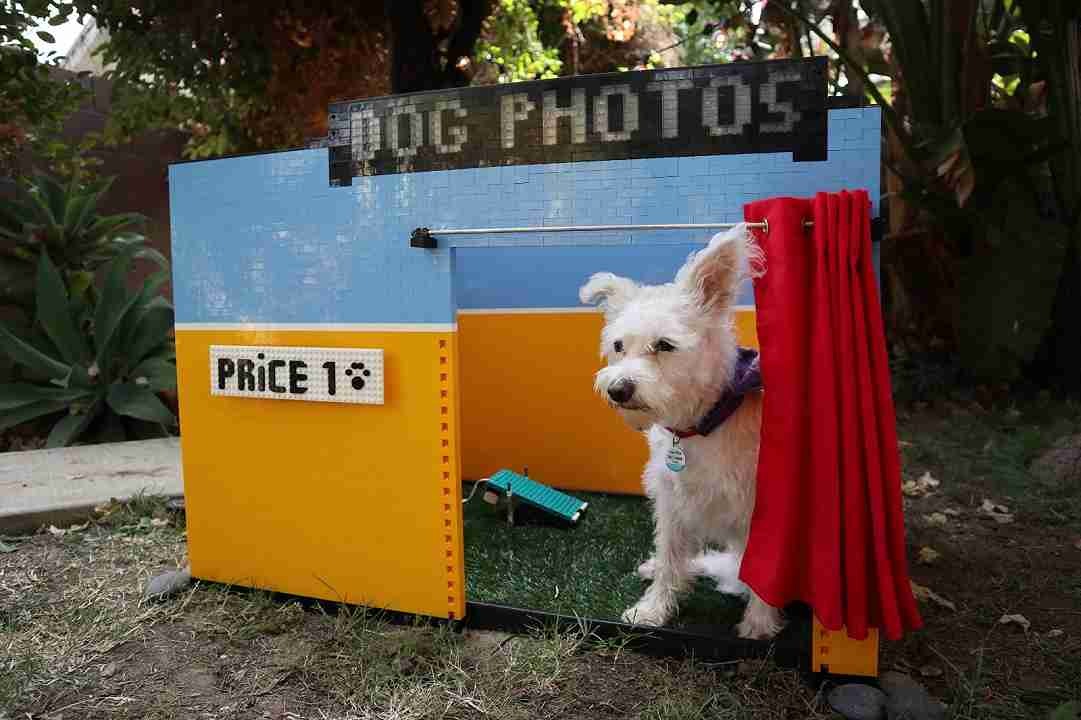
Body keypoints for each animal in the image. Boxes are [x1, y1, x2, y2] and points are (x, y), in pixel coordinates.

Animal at [579, 225, 782, 640]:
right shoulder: (672, 501)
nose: (618, 389)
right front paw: (653, 609)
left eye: (665, 345)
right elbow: (672, 554)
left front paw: (759, 624)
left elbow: (762, 572)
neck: (701, 426)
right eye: (618, 345)